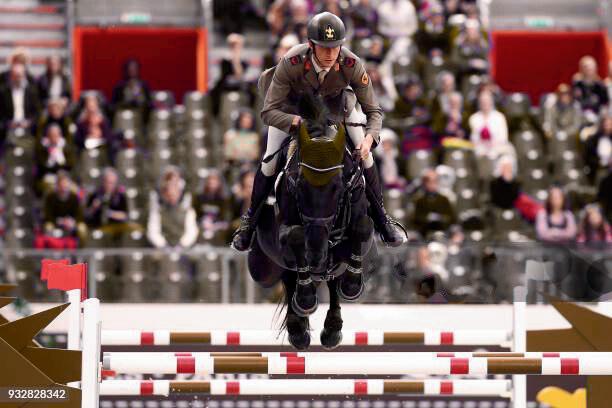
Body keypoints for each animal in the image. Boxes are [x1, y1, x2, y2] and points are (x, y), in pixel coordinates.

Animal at [247, 110, 375, 350]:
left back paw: (331, 329)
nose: (317, 253)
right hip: (262, 268)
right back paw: (299, 325)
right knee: (288, 279)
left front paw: (352, 286)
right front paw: (305, 301)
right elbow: (295, 236)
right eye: (299, 185)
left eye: (338, 187)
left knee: (332, 280)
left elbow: (362, 227)